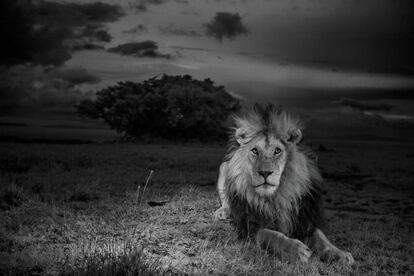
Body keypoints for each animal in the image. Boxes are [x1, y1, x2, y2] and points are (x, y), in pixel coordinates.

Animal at [215, 104, 354, 264]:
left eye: (277, 151)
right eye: (255, 150)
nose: (265, 172)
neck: (276, 197)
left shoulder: (302, 218)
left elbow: (321, 237)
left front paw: (339, 253)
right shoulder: (249, 225)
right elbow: (270, 234)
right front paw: (295, 249)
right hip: (224, 167)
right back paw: (223, 212)